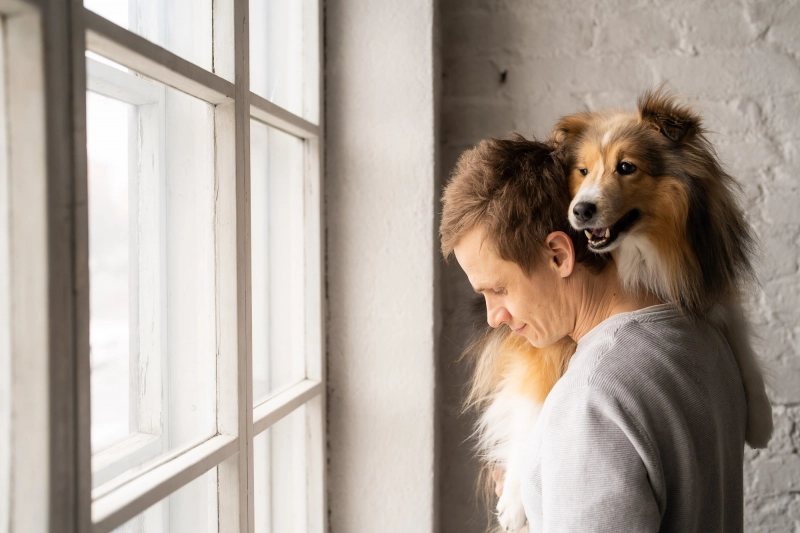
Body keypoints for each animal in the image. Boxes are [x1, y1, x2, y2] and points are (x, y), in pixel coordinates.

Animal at [468, 89, 776, 528]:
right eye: (582, 171)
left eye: (626, 167)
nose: (580, 210)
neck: (640, 253)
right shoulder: (540, 340)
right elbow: (532, 404)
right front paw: (513, 499)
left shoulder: (708, 287)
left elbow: (741, 340)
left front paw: (762, 418)